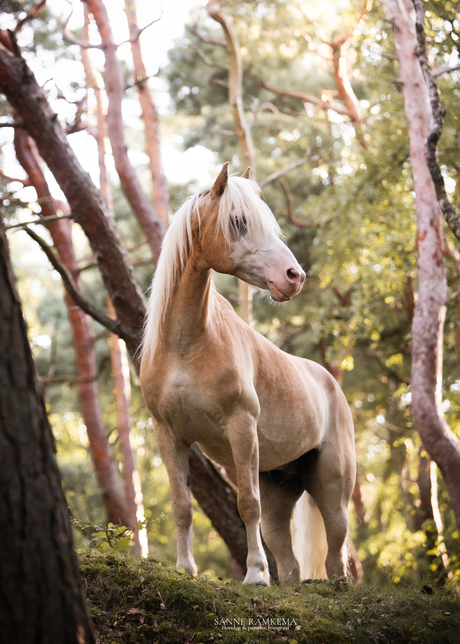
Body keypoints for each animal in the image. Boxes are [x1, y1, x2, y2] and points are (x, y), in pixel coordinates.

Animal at [140, 164, 356, 588]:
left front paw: (255, 574)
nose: (294, 276)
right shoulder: (167, 434)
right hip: (280, 490)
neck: (185, 345)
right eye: (239, 222)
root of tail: (332, 385)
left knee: (337, 554)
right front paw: (185, 569)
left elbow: (245, 504)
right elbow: (181, 506)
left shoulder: (241, 426)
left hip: (333, 492)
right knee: (288, 558)